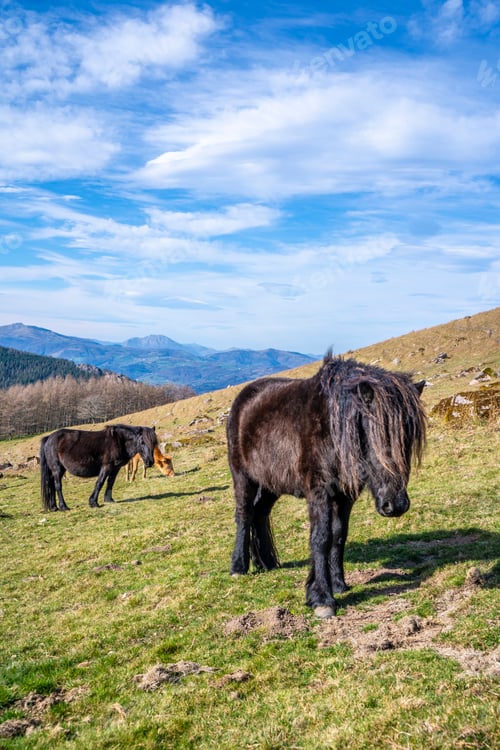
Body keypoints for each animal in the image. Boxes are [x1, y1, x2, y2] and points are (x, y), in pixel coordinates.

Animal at [227, 354, 426, 619]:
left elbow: (339, 536)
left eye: (408, 437)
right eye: (375, 434)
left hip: (271, 483)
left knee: (260, 513)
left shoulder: (344, 496)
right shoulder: (318, 492)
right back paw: (239, 566)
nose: (395, 505)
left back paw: (266, 562)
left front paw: (339, 584)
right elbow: (321, 538)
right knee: (245, 514)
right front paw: (322, 597)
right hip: (243, 477)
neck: (333, 430)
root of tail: (242, 399)